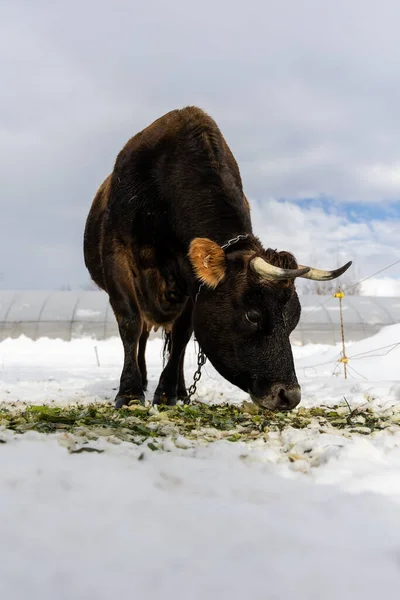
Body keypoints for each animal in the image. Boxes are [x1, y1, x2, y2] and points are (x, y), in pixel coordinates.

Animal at [83, 105, 350, 410]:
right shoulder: (117, 255)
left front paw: (167, 392)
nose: (288, 395)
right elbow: (130, 323)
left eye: (294, 318)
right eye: (253, 314)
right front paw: (129, 392)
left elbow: (182, 334)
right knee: (141, 334)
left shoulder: (192, 283)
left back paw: (181, 388)